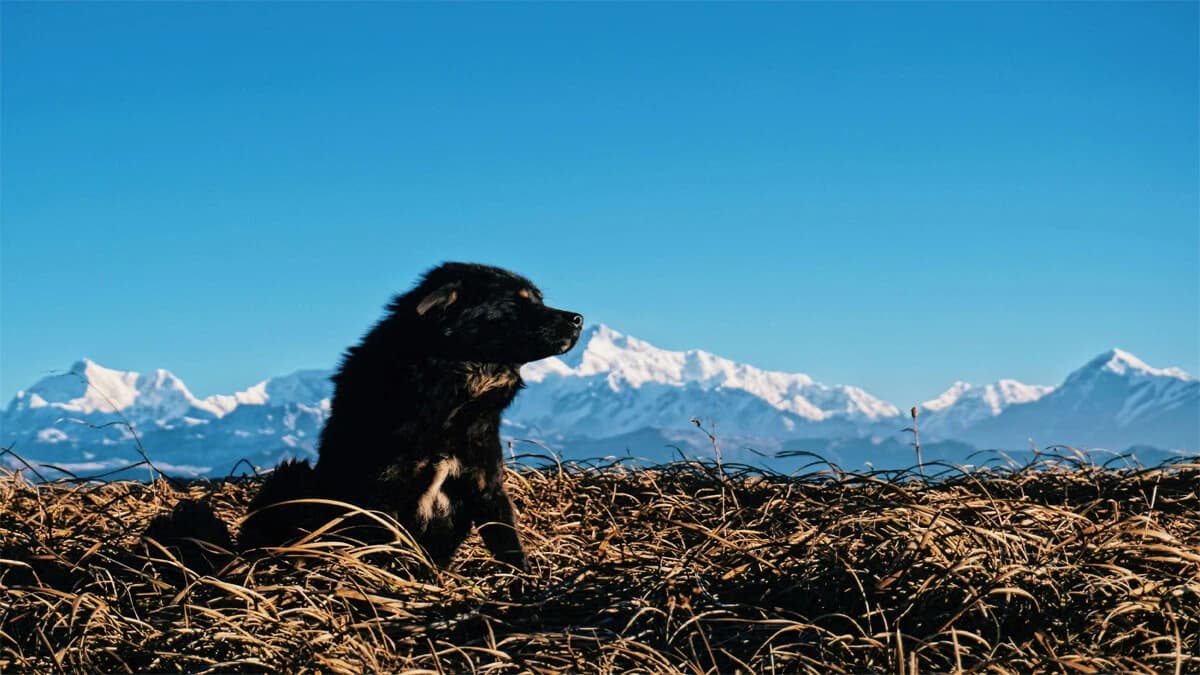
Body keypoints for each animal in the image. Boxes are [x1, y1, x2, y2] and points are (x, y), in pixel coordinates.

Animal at [236, 260, 583, 564]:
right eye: (516, 302)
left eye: (539, 299)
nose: (578, 318)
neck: (451, 400)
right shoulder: (379, 497)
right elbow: (386, 553)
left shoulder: (485, 483)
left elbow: (509, 545)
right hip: (291, 477)